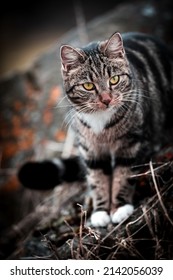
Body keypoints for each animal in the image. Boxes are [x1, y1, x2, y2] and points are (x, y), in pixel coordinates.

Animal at [17, 31, 173, 228]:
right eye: (88, 86)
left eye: (114, 80)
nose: (106, 99)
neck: (101, 123)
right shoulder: (89, 149)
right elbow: (97, 179)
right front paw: (100, 211)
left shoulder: (131, 144)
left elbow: (124, 174)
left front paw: (120, 207)